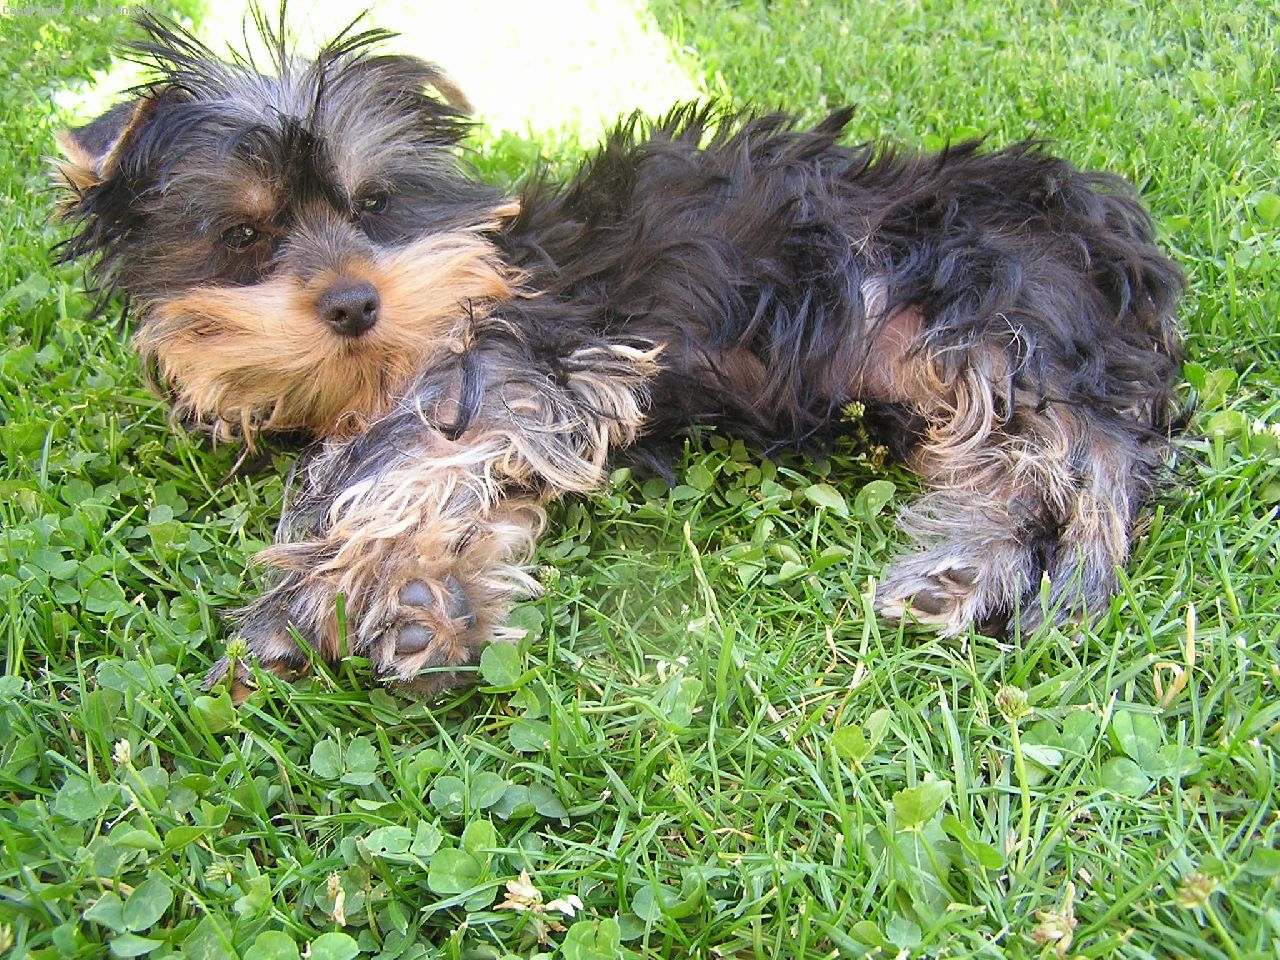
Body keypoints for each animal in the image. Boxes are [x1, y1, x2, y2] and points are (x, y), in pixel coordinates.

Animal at [52, 12, 1183, 695]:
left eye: (374, 206)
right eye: (243, 236)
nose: (353, 303)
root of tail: (1114, 234)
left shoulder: (524, 361)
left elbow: (391, 464)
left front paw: (329, 602)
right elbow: (428, 488)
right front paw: (423, 598)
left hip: (997, 303)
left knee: (1083, 457)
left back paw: (1057, 579)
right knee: (1013, 464)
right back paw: (962, 575)